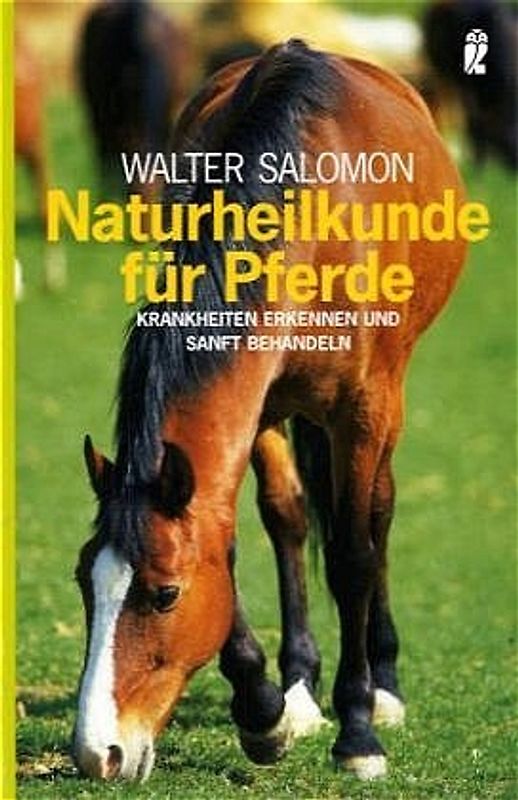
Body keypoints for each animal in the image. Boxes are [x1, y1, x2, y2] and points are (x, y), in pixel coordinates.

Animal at [73, 40, 467, 782]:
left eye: (164, 594)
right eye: (86, 583)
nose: (96, 753)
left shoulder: (363, 409)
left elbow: (352, 554)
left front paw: (358, 732)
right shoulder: (255, 409)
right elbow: (242, 536)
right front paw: (264, 711)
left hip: (384, 404)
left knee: (377, 516)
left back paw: (383, 684)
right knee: (292, 518)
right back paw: (300, 691)